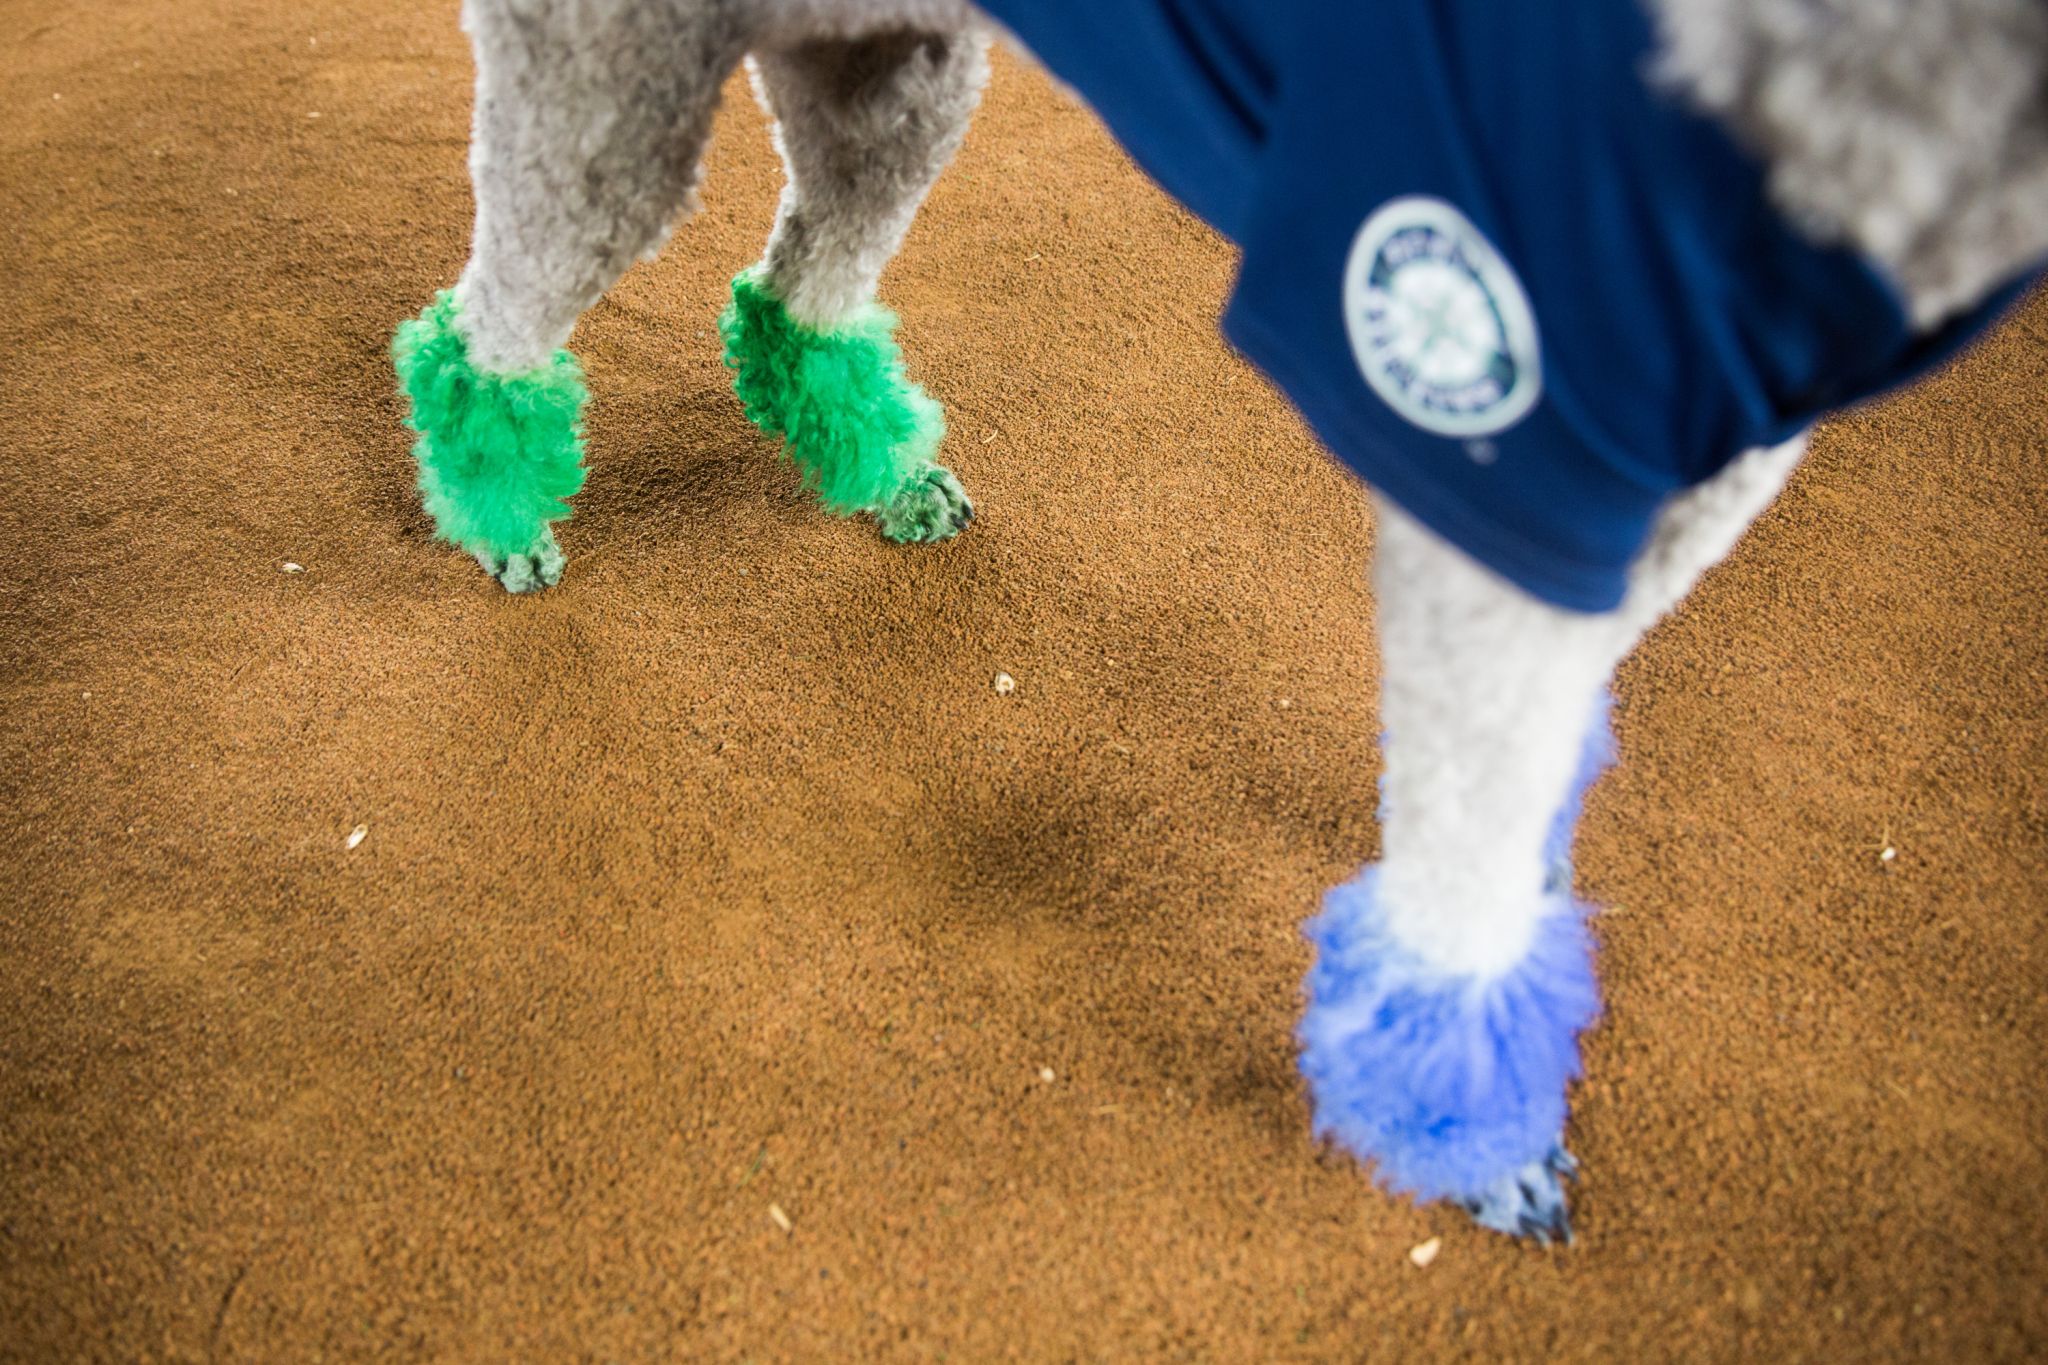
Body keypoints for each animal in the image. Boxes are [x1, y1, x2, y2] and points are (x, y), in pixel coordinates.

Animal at [395, 0, 2048, 1236]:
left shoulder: (1703, 443)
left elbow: (1528, 778)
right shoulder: (1514, 428)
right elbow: (1465, 834)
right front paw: (1468, 1107)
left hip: (890, 66)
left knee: (799, 283)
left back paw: (873, 458)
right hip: (617, 80)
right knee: (497, 311)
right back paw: (496, 499)